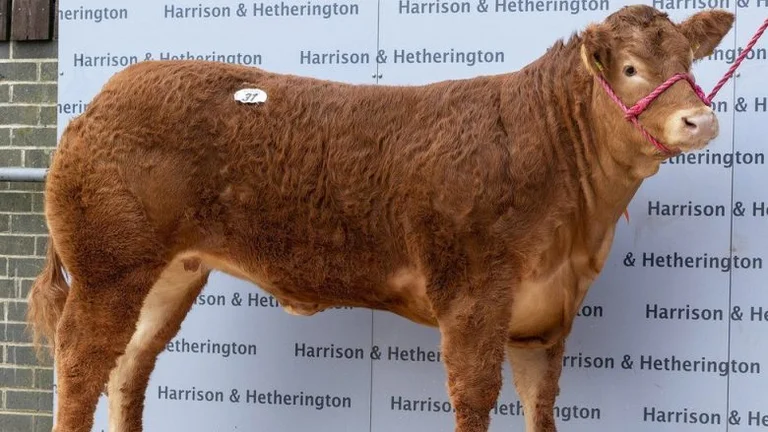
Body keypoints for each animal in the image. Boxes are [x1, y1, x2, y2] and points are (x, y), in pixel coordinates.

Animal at [27, 5, 734, 432]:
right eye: (632, 69)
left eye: (689, 65)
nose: (699, 120)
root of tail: (99, 103)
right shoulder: (473, 296)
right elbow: (474, 397)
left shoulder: (544, 319)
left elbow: (541, 409)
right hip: (108, 266)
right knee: (81, 361)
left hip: (169, 273)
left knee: (129, 366)